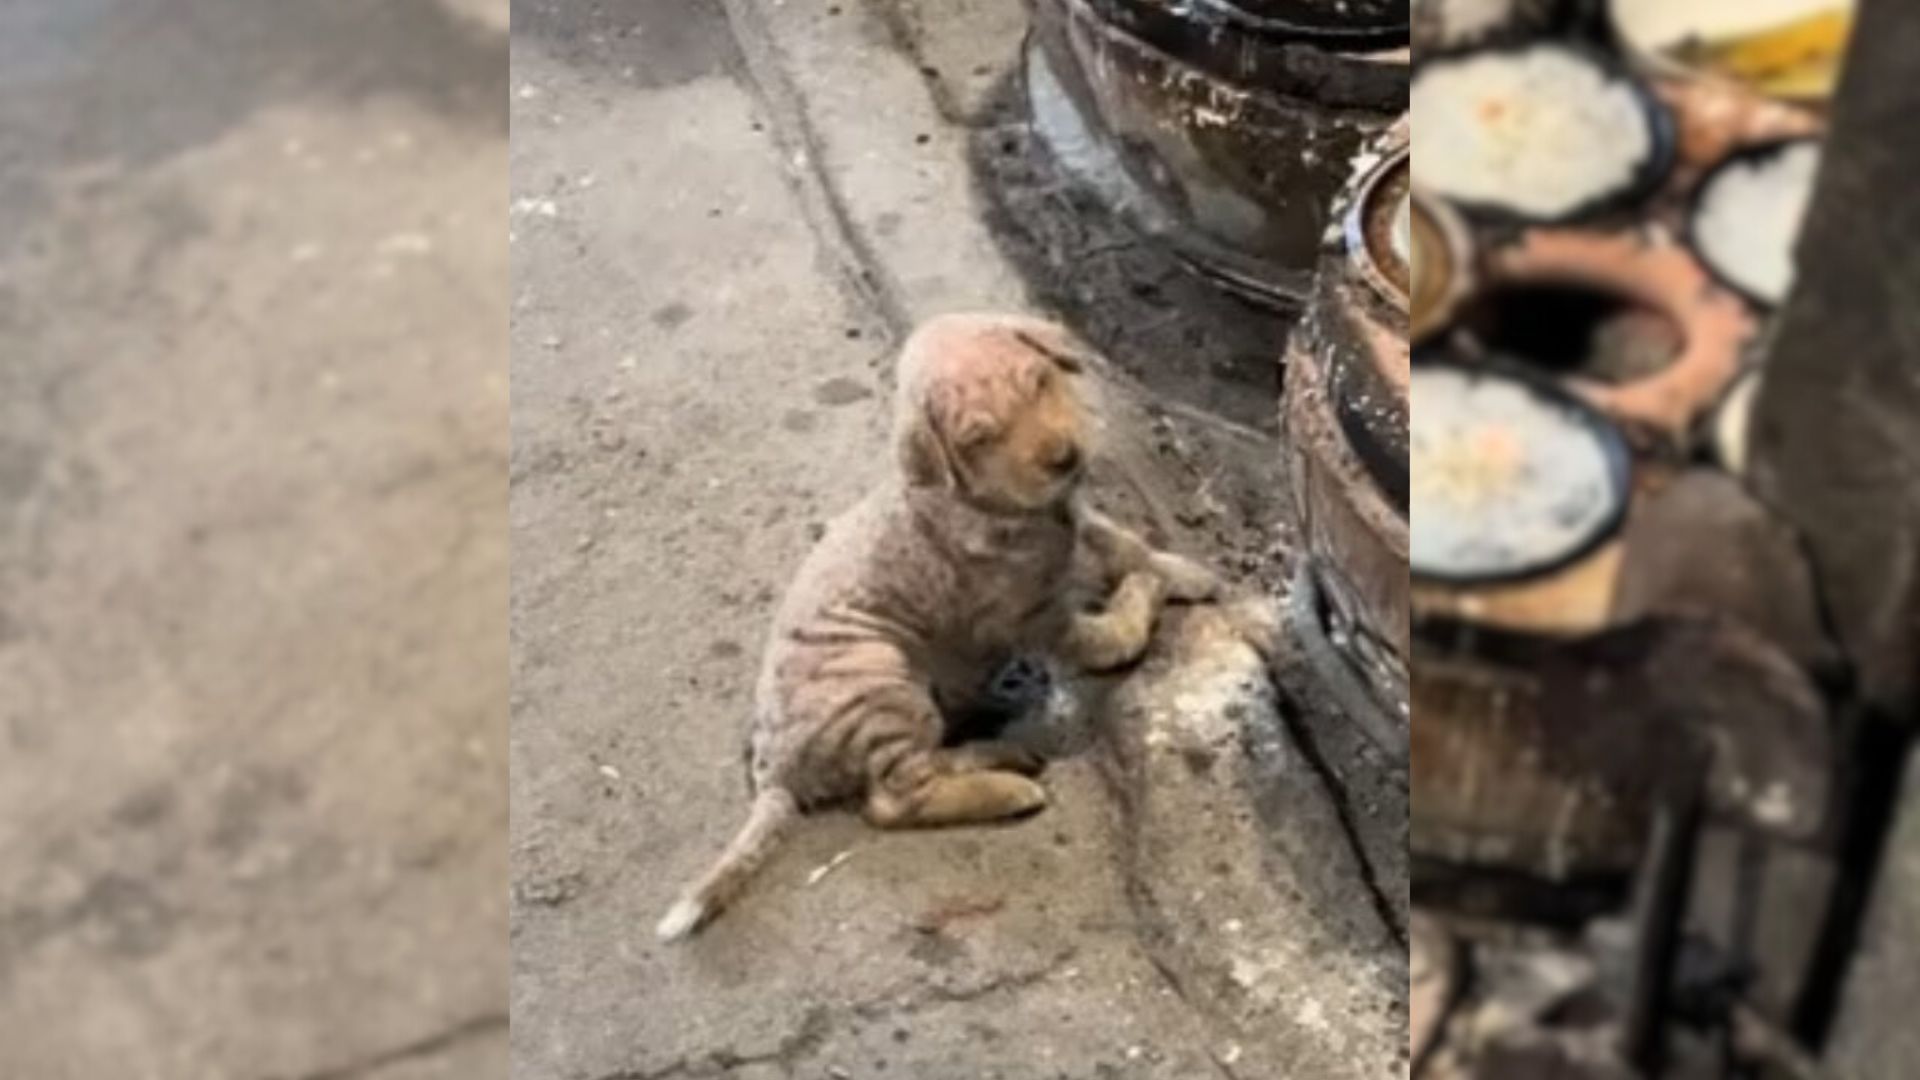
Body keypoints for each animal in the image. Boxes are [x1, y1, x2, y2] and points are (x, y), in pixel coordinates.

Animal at [645, 309, 1213, 933]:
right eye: (979, 439)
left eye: (1040, 381)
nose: (1064, 458)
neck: (999, 505)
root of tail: (775, 771)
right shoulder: (1035, 617)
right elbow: (1110, 635)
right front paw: (1145, 594)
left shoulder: (1080, 524)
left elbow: (1125, 545)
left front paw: (1185, 572)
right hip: (881, 680)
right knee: (894, 798)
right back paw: (1006, 788)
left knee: (926, 763)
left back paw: (998, 750)